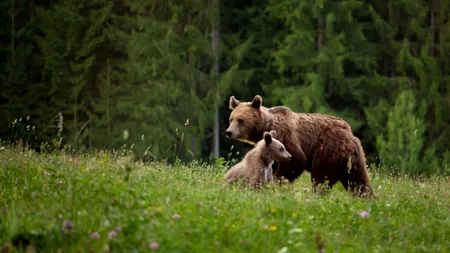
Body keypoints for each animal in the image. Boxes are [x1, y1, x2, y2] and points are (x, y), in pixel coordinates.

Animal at [227, 94, 374, 197]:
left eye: (240, 120)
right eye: (231, 119)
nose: (229, 132)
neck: (265, 127)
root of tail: (349, 133)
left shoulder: (285, 136)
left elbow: (296, 160)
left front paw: (276, 182)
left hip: (327, 149)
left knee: (321, 176)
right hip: (353, 158)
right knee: (358, 180)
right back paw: (366, 198)